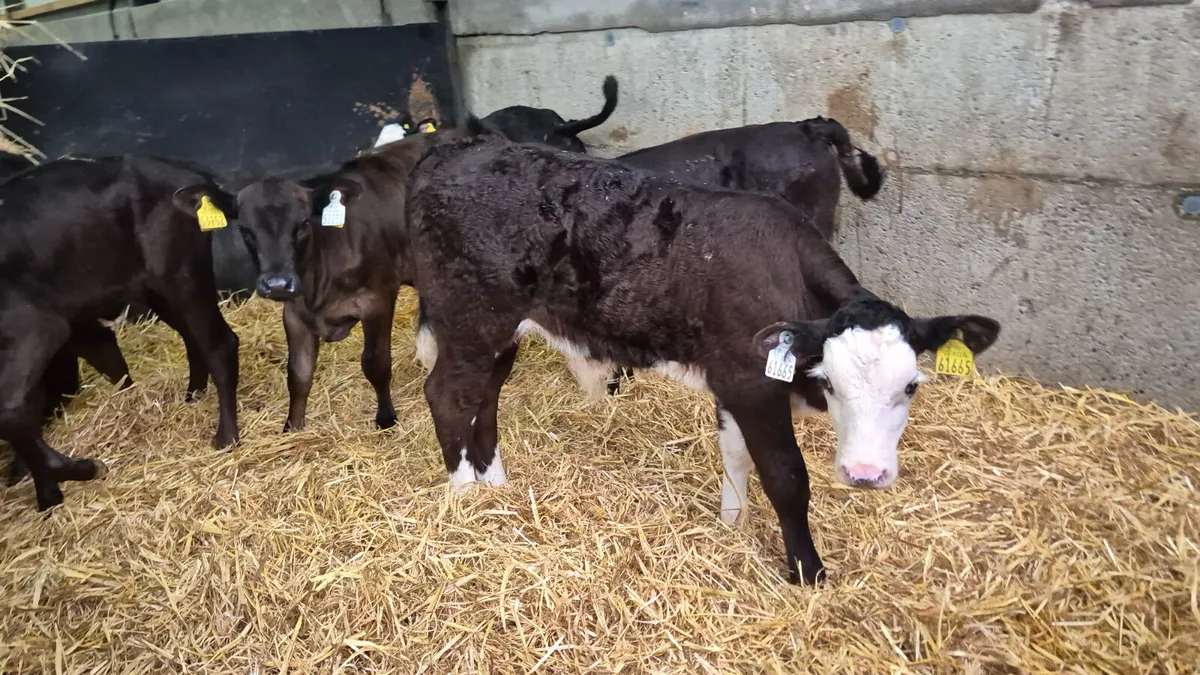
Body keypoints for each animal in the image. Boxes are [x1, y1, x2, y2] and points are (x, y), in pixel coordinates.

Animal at [0, 154, 241, 510]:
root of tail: (192, 174)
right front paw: (46, 493)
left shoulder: (38, 327)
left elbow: (13, 409)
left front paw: (73, 472)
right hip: (156, 288)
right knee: (194, 339)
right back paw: (192, 397)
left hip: (180, 273)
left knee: (220, 344)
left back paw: (226, 436)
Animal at [231, 130, 464, 432]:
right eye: (246, 231)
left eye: (303, 224)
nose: (278, 283)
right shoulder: (294, 313)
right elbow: (298, 373)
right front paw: (292, 427)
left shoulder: (377, 299)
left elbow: (375, 363)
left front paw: (386, 419)